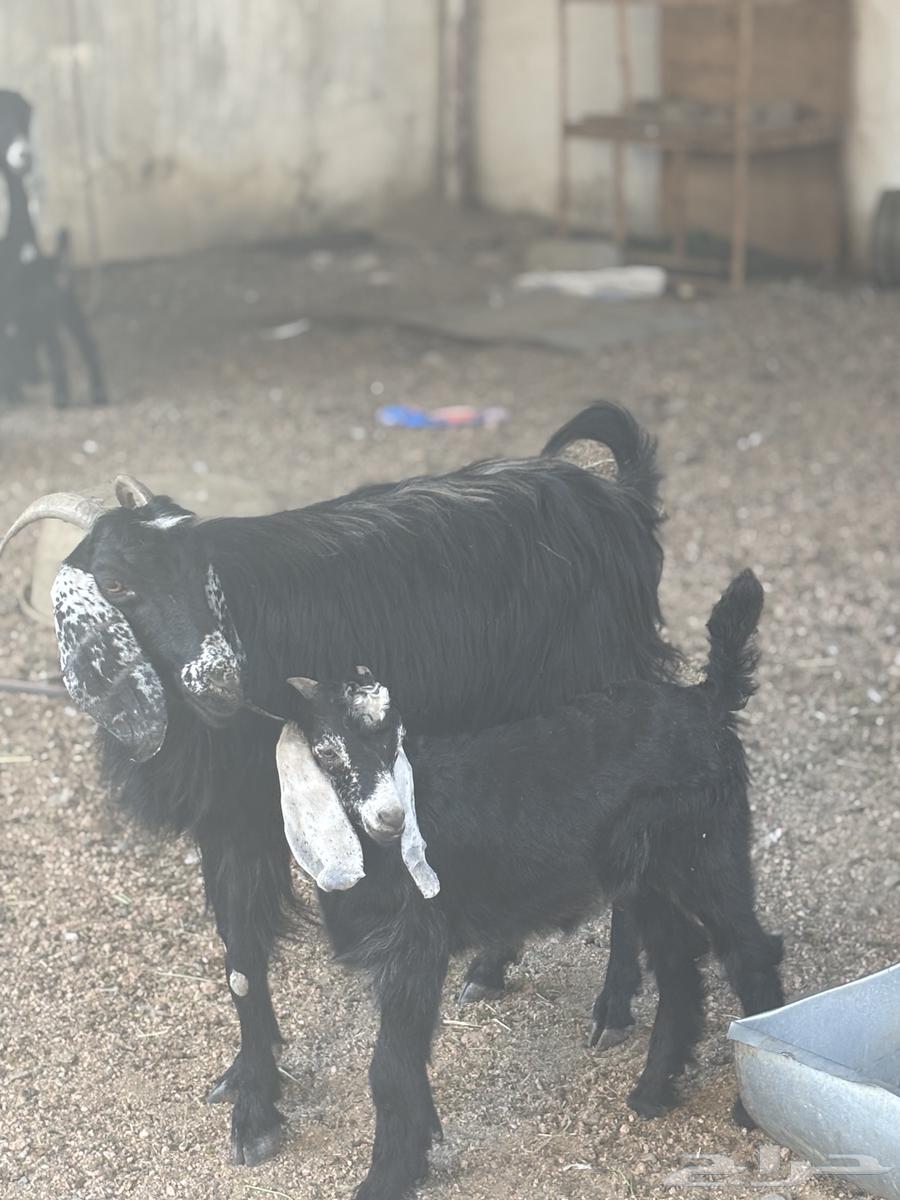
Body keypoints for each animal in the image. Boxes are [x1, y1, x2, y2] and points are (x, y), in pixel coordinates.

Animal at [1, 403, 677, 1166]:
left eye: (202, 571)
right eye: (116, 585)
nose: (223, 682)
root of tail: (618, 498)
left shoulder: (247, 816)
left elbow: (244, 958)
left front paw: (257, 1114)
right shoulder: (222, 820)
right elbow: (236, 952)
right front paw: (250, 1077)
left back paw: (612, 1009)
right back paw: (490, 970)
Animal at [277, 570, 785, 1200]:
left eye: (395, 738)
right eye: (325, 751)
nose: (391, 819)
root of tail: (707, 698)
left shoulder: (415, 944)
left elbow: (390, 1068)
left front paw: (386, 1177)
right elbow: (404, 1059)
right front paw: (415, 1155)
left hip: (707, 853)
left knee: (748, 950)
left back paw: (747, 1108)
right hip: (645, 875)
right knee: (679, 966)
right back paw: (652, 1091)